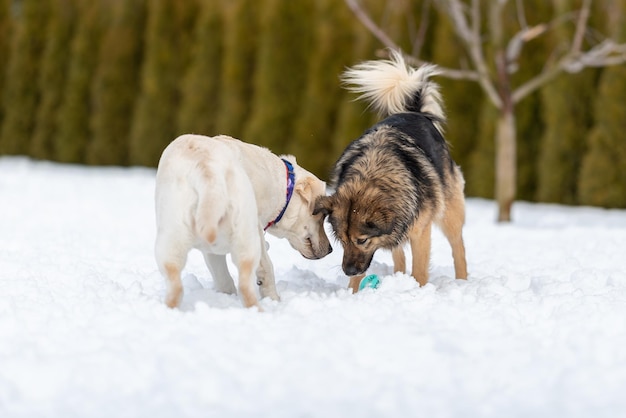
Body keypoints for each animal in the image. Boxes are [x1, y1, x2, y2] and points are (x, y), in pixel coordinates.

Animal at [154, 134, 332, 306]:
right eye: (323, 215)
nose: (331, 249)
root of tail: (207, 170)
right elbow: (265, 266)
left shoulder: (211, 252)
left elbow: (223, 279)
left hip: (172, 240)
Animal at [314, 50, 466, 292]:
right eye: (342, 240)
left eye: (362, 240)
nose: (348, 271)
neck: (372, 176)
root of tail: (416, 113)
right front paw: (353, 293)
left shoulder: (420, 231)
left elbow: (420, 269)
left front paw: (417, 290)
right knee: (399, 255)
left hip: (450, 211)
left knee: (458, 247)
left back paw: (462, 280)